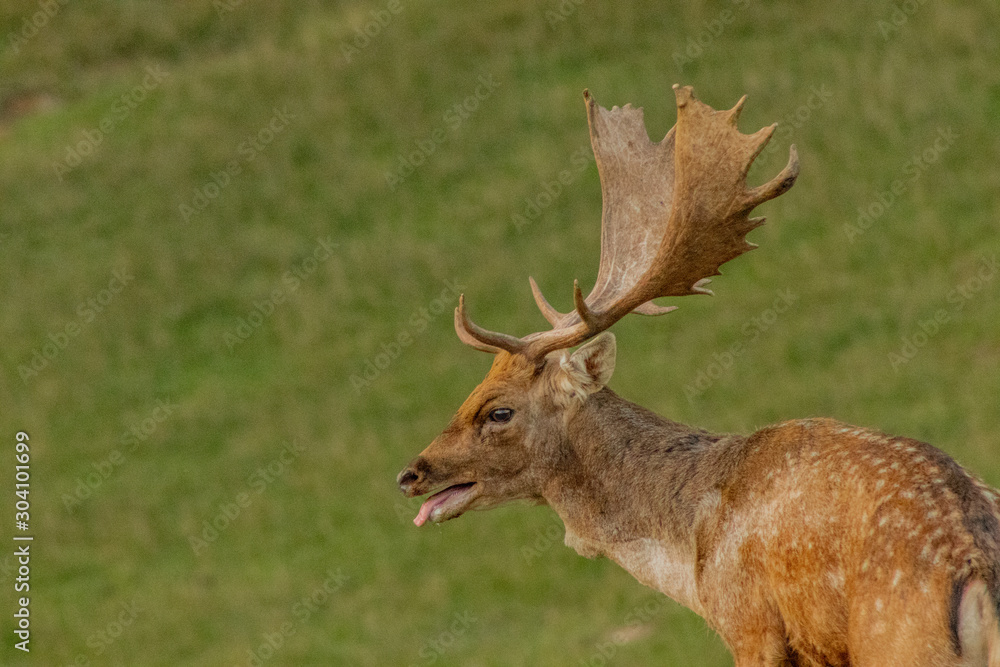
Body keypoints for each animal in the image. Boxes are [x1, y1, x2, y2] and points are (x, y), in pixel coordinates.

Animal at [396, 84, 1000, 666]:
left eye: (499, 410)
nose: (410, 474)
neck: (688, 555)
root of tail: (977, 570)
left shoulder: (749, 623)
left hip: (897, 637)